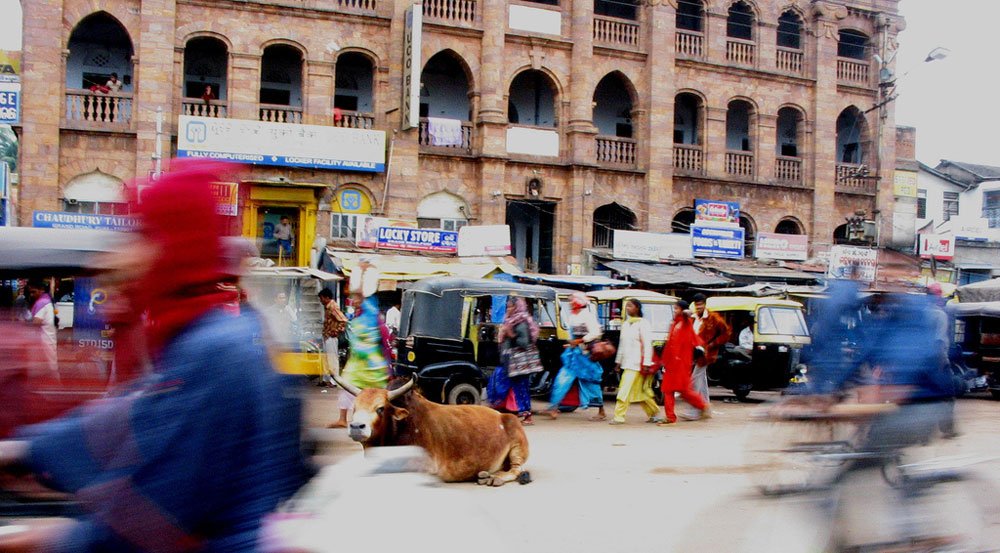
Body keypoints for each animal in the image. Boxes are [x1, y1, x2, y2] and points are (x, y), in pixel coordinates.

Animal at [330, 376, 536, 488]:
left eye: (380, 408)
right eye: (354, 407)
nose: (357, 426)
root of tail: (502, 415)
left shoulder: (424, 466)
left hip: (517, 442)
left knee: (516, 469)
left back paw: (495, 478)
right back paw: (486, 475)